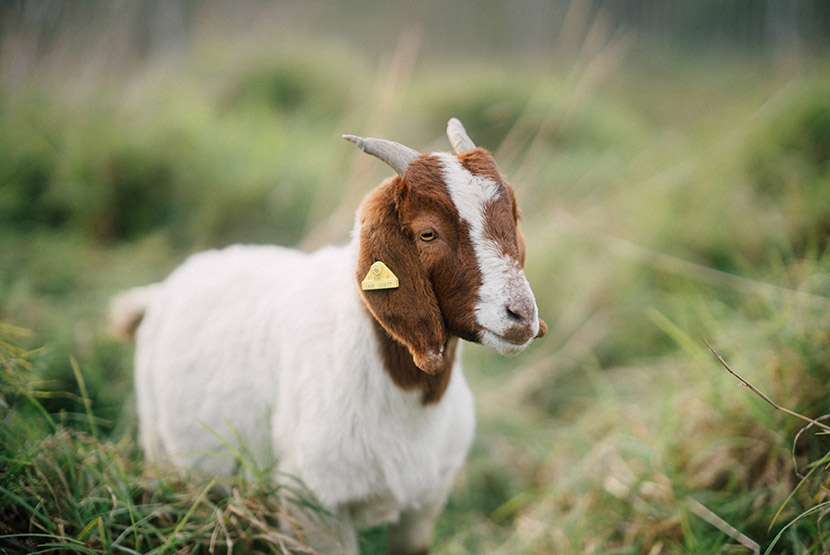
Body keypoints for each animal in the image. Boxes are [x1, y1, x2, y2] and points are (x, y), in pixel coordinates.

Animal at [109, 118, 546, 554]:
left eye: (514, 217)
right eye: (427, 233)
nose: (521, 315)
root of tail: (162, 290)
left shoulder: (425, 504)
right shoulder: (313, 505)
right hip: (162, 449)